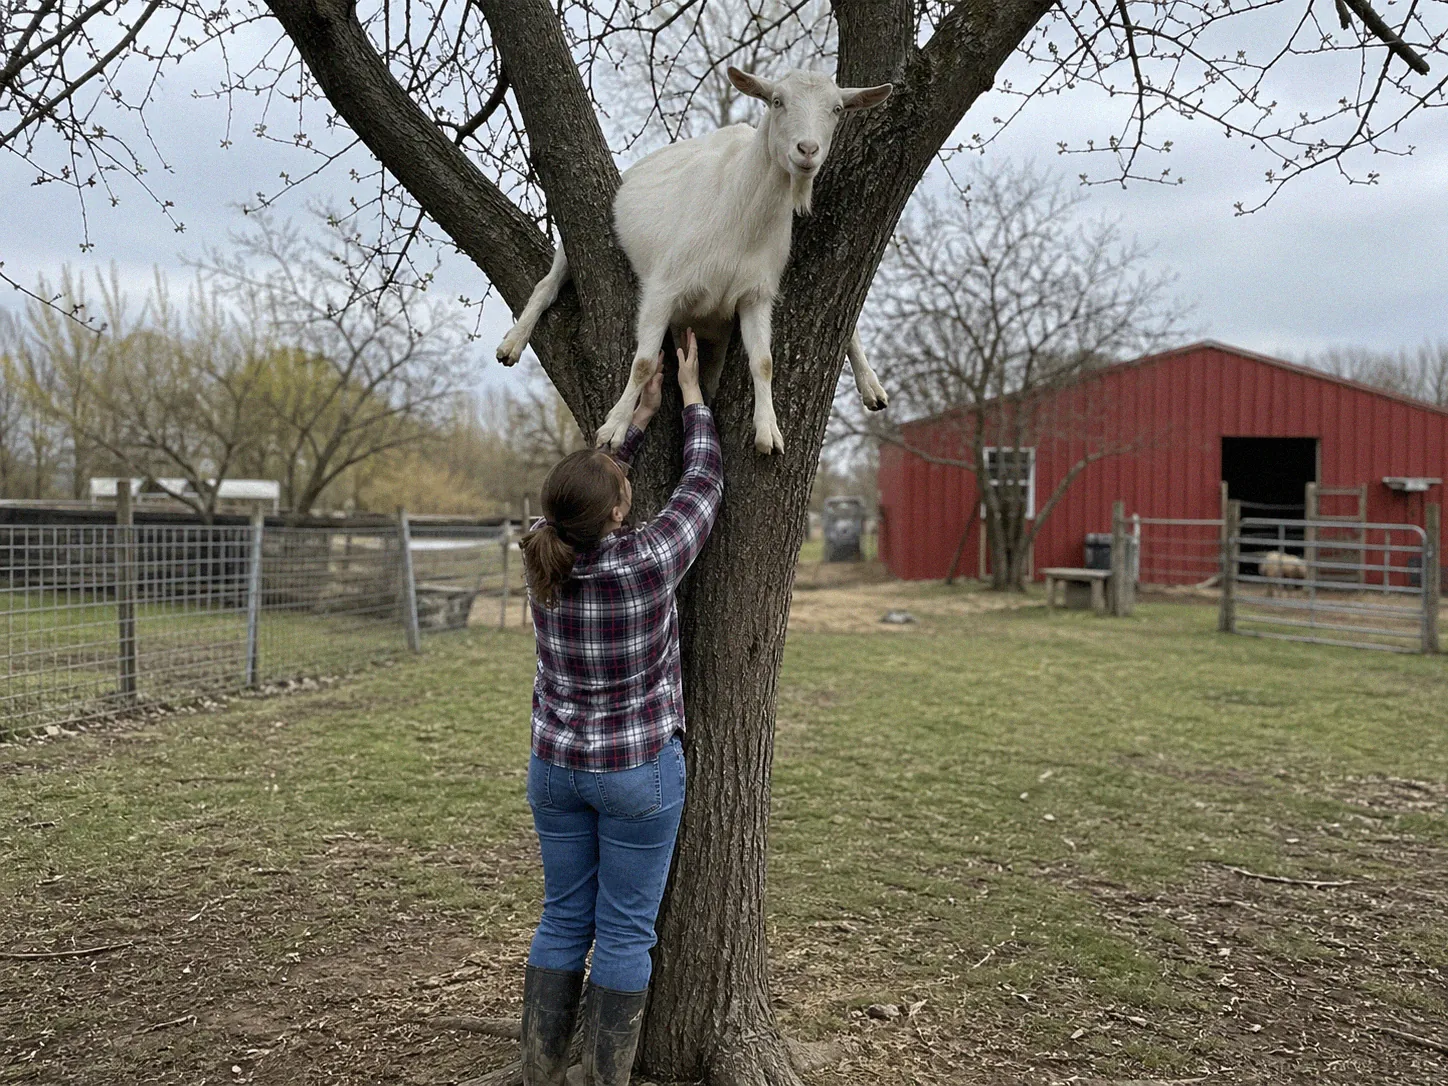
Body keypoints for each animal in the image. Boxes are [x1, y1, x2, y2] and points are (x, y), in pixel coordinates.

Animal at [496, 67, 893, 454]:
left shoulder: (756, 293)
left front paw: (769, 431)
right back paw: (512, 344)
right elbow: (643, 362)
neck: (741, 220)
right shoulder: (663, 287)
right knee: (547, 285)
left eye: (837, 109)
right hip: (573, 243)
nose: (807, 150)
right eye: (777, 101)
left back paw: (873, 388)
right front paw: (614, 427)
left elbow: (764, 362)